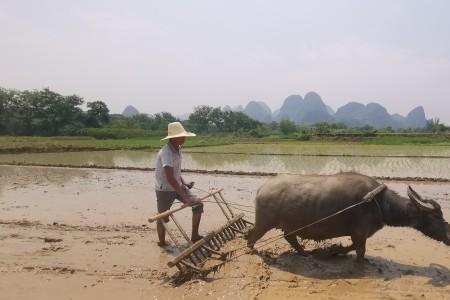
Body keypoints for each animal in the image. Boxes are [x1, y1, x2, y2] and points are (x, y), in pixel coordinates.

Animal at [246, 172, 450, 262]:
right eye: (437, 216)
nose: (449, 236)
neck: (379, 202)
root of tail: (262, 188)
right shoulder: (359, 233)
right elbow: (360, 251)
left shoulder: (358, 234)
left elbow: (352, 247)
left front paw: (333, 250)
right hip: (264, 222)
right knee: (251, 234)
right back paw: (252, 250)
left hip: (289, 225)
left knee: (290, 237)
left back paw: (304, 253)